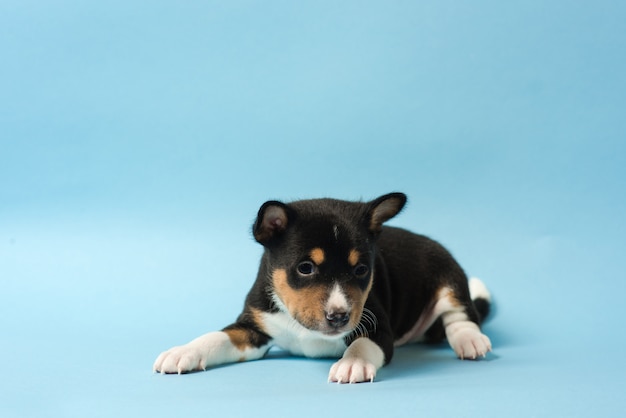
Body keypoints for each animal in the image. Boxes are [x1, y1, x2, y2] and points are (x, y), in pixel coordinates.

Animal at [154, 193, 490, 382]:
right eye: (305, 268)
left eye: (361, 270)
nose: (339, 316)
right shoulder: (253, 327)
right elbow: (216, 337)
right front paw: (183, 351)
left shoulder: (377, 327)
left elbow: (361, 344)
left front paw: (351, 364)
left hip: (447, 277)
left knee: (461, 316)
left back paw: (470, 341)